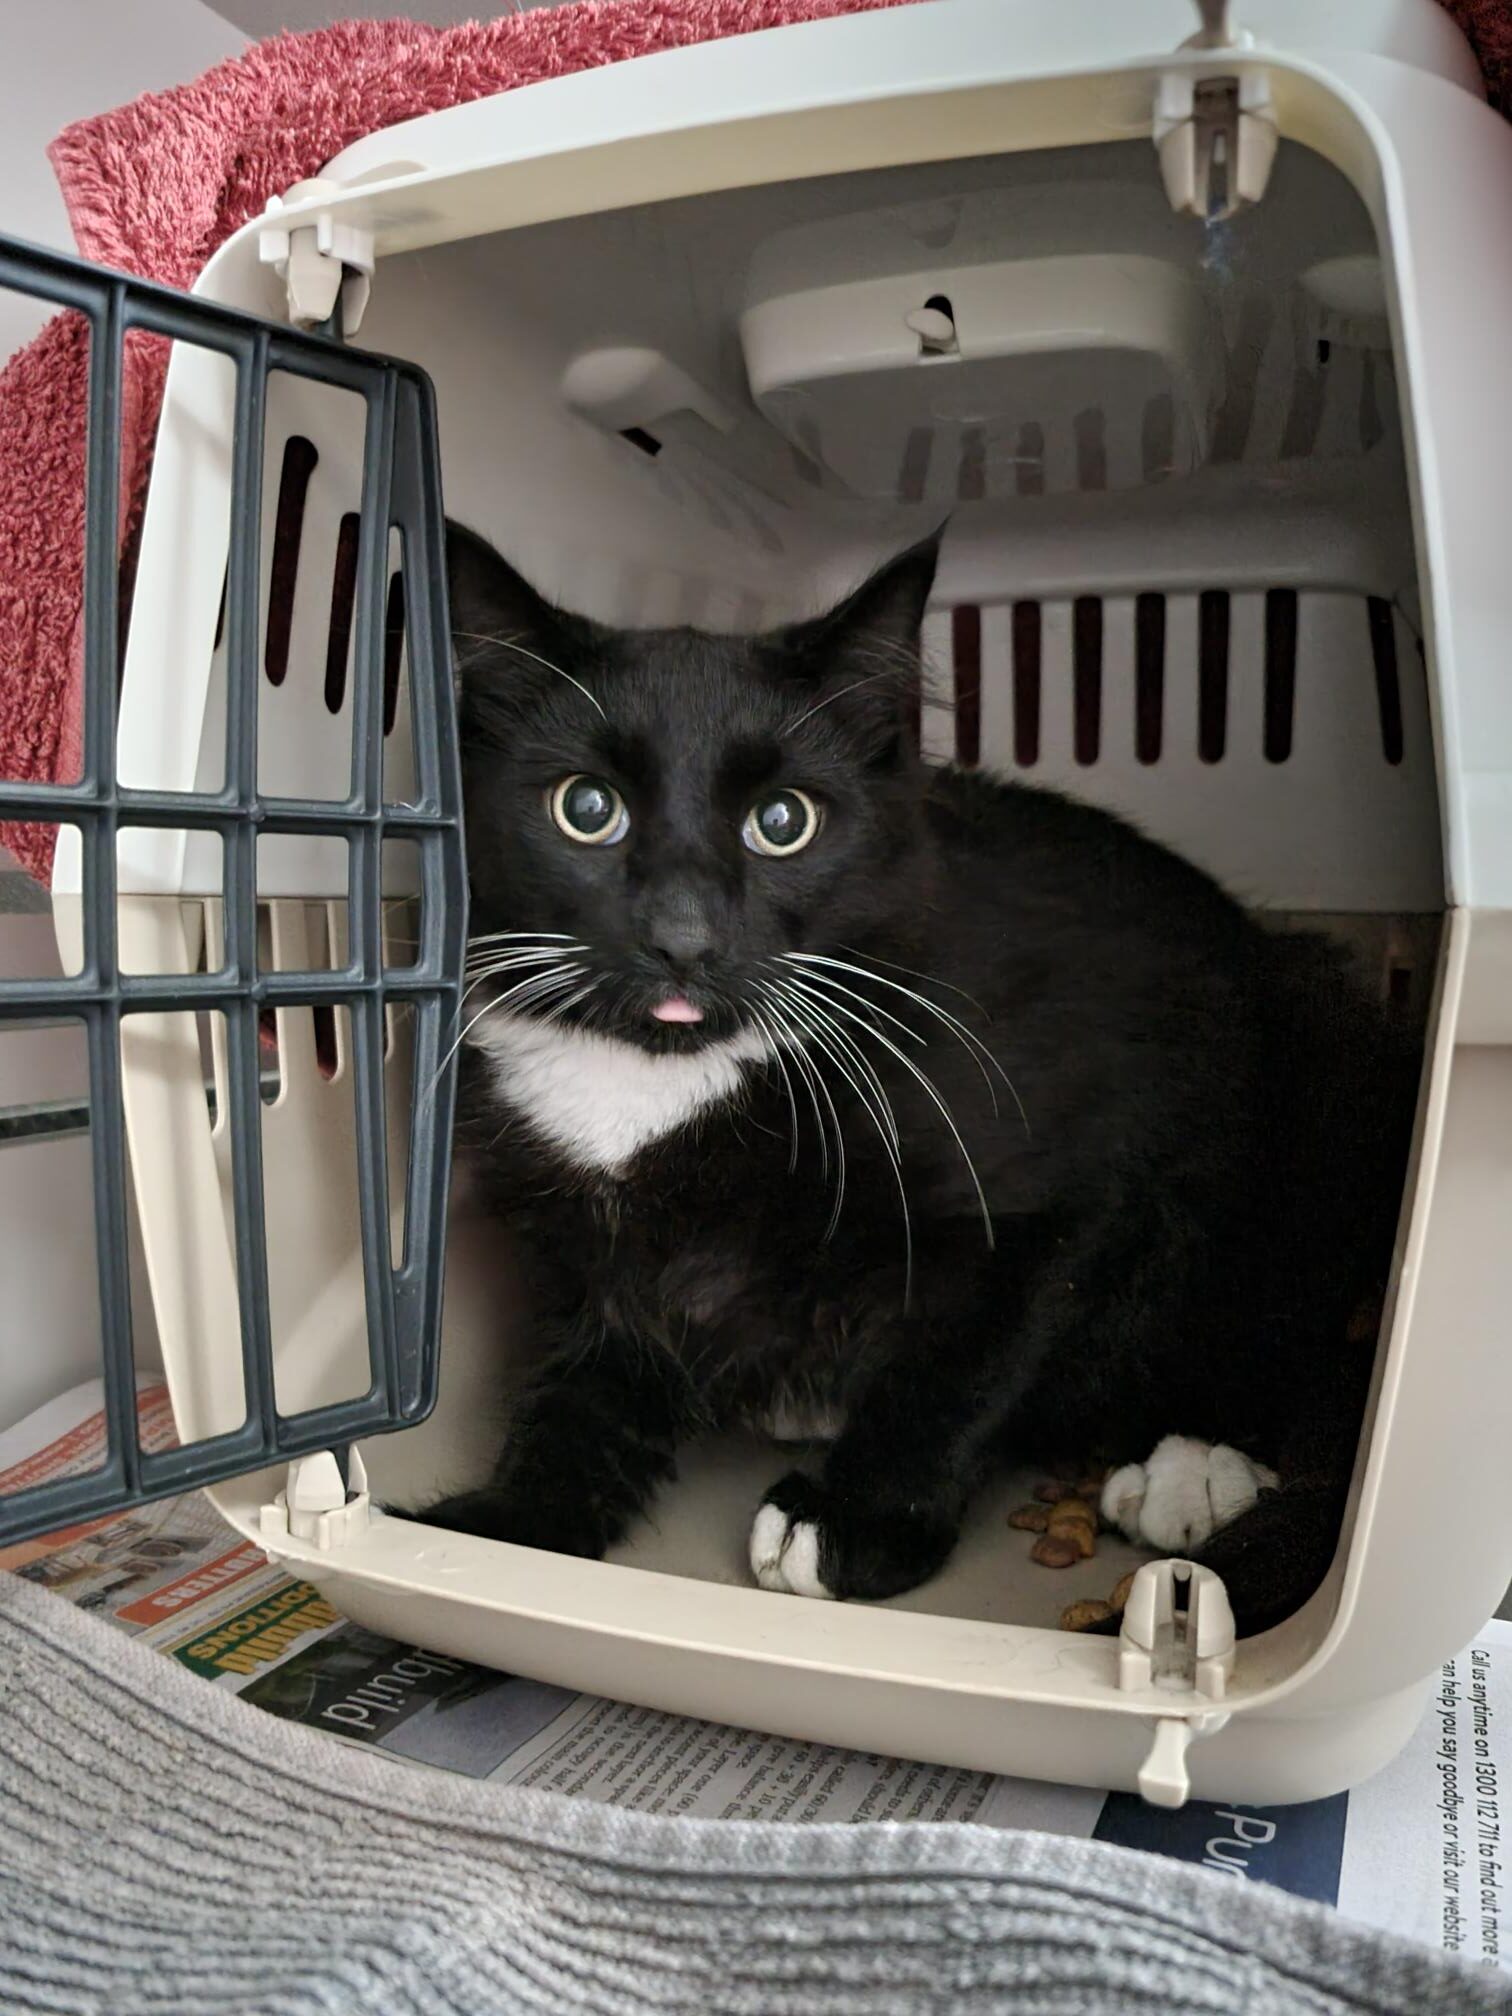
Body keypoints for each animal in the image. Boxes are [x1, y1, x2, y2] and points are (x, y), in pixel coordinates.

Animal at [412, 520, 1416, 1637]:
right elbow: (585, 1387)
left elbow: (965, 1360)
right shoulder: (591, 1253)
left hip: (1319, 1072)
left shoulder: (1061, 1199)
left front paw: (857, 1518)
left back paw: (1195, 1462)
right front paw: (494, 1531)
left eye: (783, 821)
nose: (683, 937)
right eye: (587, 809)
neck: (667, 1079)